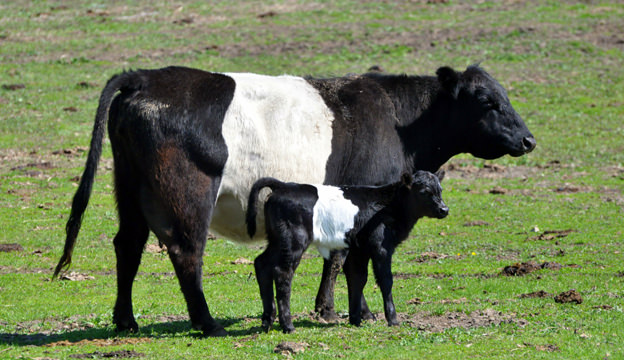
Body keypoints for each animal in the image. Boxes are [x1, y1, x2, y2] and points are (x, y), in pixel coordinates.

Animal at [245, 170, 448, 334]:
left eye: (440, 190)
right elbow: (385, 280)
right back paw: (287, 325)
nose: (444, 209)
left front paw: (356, 319)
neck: (388, 205)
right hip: (293, 241)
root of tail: (284, 185)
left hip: (277, 241)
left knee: (261, 264)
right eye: (424, 192)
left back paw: (267, 321)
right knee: (283, 273)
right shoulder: (381, 247)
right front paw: (393, 319)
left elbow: (358, 279)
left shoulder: (359, 249)